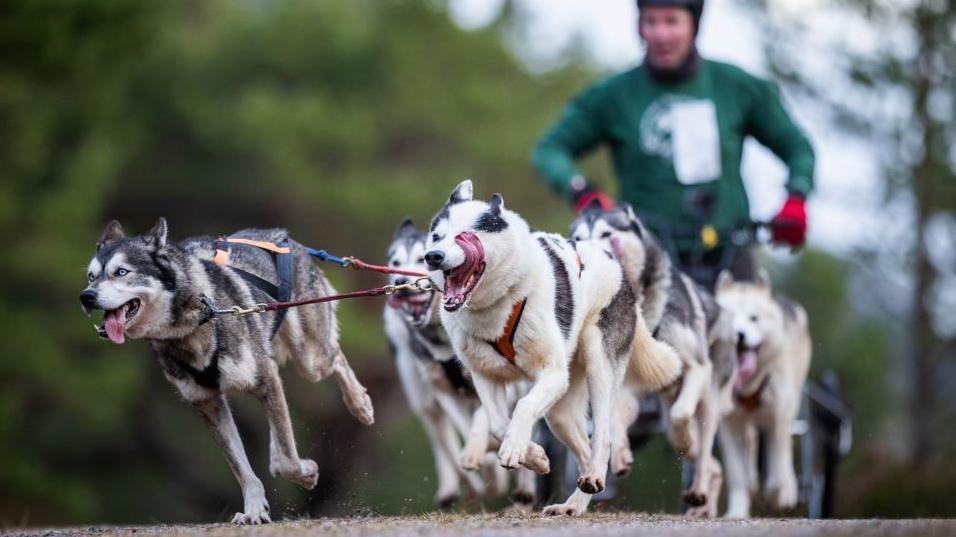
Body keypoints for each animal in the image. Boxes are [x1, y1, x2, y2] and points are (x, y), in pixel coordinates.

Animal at [78, 218, 374, 524]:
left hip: (310, 359)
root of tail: (284, 237)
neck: (193, 324)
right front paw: (254, 509)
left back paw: (360, 404)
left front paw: (307, 474)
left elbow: (289, 463)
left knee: (336, 357)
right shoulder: (209, 403)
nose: (86, 297)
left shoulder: (264, 379)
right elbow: (244, 470)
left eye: (121, 272)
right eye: (91, 277)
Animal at [382, 217, 536, 506]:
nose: (400, 281)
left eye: (420, 258)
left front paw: (488, 457)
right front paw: (482, 462)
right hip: (423, 400)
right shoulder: (441, 390)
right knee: (443, 441)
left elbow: (483, 417)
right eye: (394, 262)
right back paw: (456, 486)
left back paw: (524, 489)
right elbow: (464, 430)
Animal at [422, 180, 676, 516]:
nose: (432, 256)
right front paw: (534, 456)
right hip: (561, 411)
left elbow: (523, 406)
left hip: (597, 369)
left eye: (466, 234)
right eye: (437, 235)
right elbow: (498, 425)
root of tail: (615, 264)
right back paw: (575, 502)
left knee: (603, 436)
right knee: (582, 447)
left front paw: (516, 448)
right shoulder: (485, 377)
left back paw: (593, 476)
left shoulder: (552, 373)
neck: (498, 304)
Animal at [572, 201, 736, 516]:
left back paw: (698, 489)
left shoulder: (696, 367)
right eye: (578, 238)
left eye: (607, 234)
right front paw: (621, 454)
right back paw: (704, 503)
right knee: (713, 465)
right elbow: (614, 417)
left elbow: (680, 414)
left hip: (709, 397)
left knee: (703, 447)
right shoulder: (623, 380)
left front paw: (683, 434)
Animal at [712, 270, 812, 516]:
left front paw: (780, 495)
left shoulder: (779, 417)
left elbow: (778, 467)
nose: (738, 335)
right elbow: (738, 475)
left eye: (753, 318)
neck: (747, 385)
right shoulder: (729, 423)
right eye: (728, 317)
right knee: (751, 449)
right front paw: (737, 511)